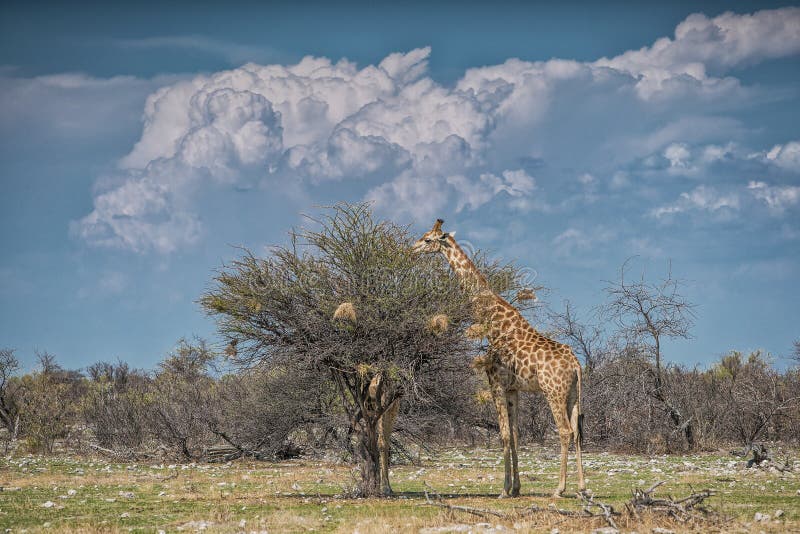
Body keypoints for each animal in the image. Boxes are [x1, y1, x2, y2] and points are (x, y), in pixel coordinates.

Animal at [416, 220, 584, 500]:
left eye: (428, 239)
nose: (412, 248)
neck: (494, 325)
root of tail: (576, 365)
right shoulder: (513, 389)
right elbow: (515, 435)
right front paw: (516, 487)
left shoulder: (495, 383)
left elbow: (504, 434)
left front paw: (504, 490)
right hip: (573, 393)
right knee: (578, 432)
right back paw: (582, 487)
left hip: (553, 391)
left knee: (564, 431)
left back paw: (559, 489)